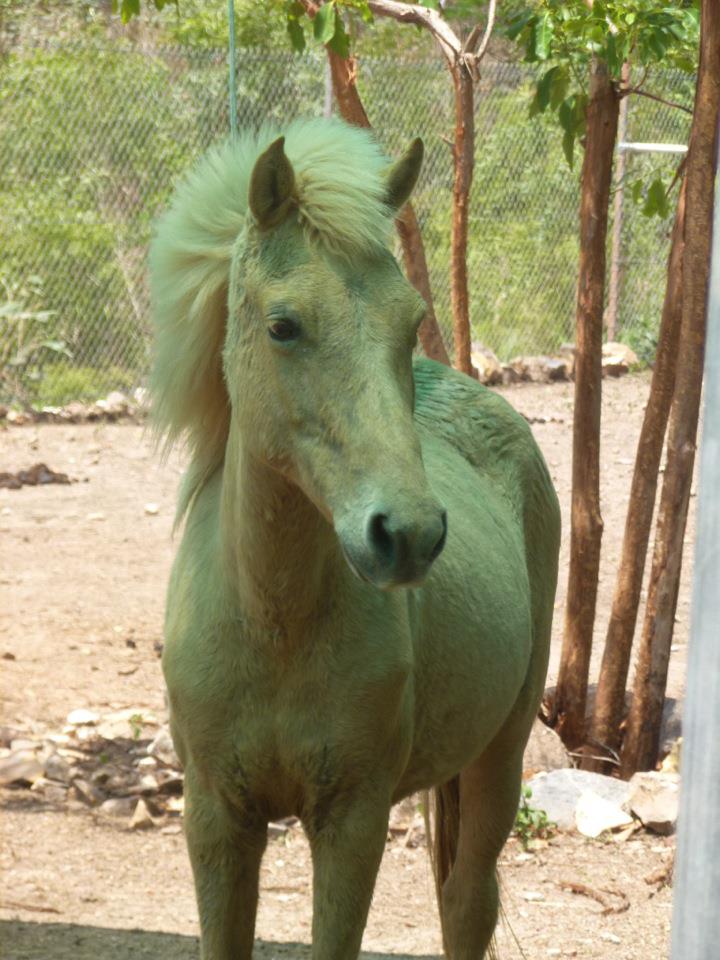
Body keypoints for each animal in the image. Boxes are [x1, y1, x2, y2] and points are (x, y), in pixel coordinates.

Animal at [149, 118, 560, 960]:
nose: (407, 534)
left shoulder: (352, 821)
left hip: (499, 757)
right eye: (283, 325)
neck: (273, 623)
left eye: (409, 322)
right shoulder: (217, 821)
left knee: (467, 902)